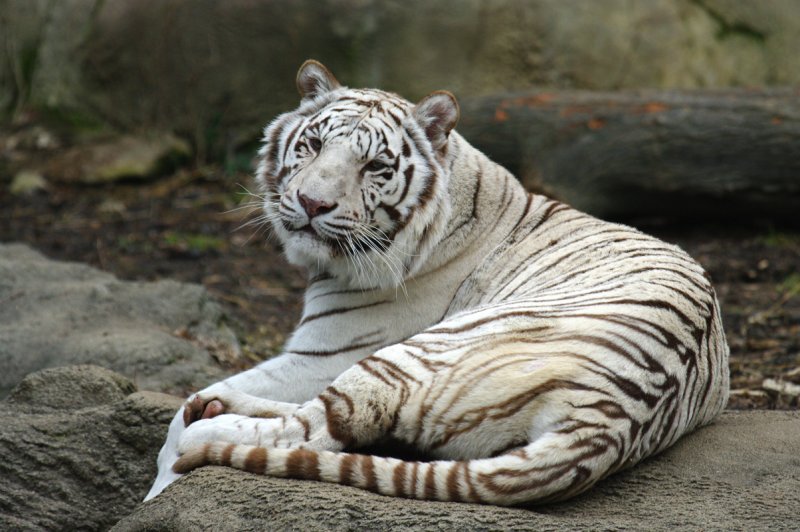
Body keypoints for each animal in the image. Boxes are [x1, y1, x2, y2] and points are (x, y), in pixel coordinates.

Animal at [145, 60, 732, 504]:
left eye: (375, 166)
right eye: (311, 145)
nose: (312, 204)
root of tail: (604, 423)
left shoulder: (325, 353)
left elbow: (189, 420)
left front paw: (157, 486)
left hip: (416, 352)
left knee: (312, 428)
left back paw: (208, 425)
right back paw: (214, 405)